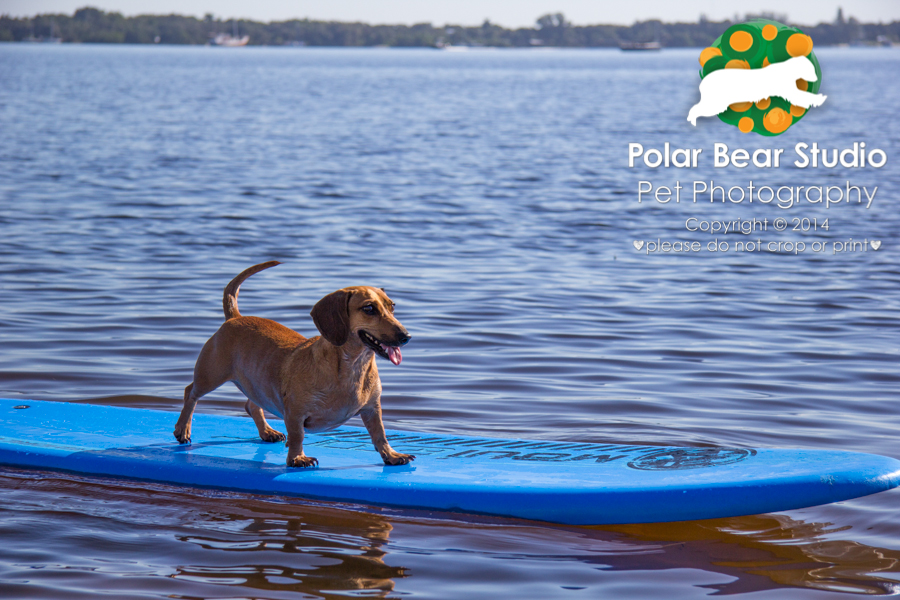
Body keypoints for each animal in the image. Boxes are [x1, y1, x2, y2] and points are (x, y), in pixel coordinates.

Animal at [172, 262, 414, 468]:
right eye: (369, 309)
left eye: (392, 306)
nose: (406, 336)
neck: (352, 368)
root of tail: (234, 317)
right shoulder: (296, 413)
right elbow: (298, 435)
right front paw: (298, 458)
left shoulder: (373, 408)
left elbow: (380, 434)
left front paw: (392, 455)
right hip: (210, 376)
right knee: (190, 393)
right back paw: (183, 428)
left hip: (254, 384)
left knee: (251, 405)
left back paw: (267, 431)